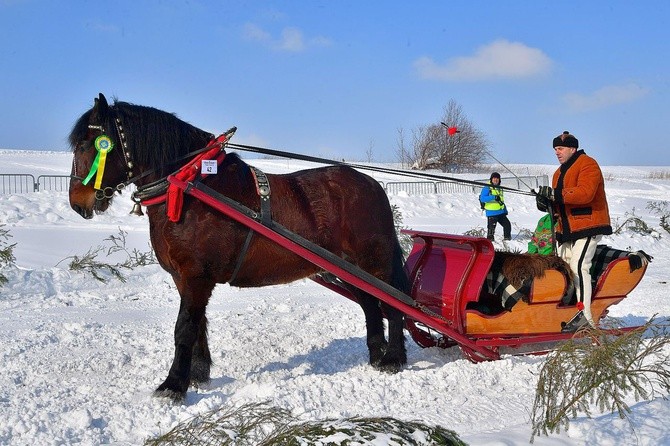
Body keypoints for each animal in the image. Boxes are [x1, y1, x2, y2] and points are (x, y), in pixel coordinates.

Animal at [68, 93, 410, 400]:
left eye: (87, 145)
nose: (77, 203)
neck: (192, 187)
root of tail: (373, 185)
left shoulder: (195, 276)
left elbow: (184, 328)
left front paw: (173, 385)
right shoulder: (184, 277)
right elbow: (198, 325)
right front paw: (197, 374)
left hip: (375, 262)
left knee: (394, 303)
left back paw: (393, 358)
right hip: (348, 268)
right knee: (370, 305)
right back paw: (376, 356)